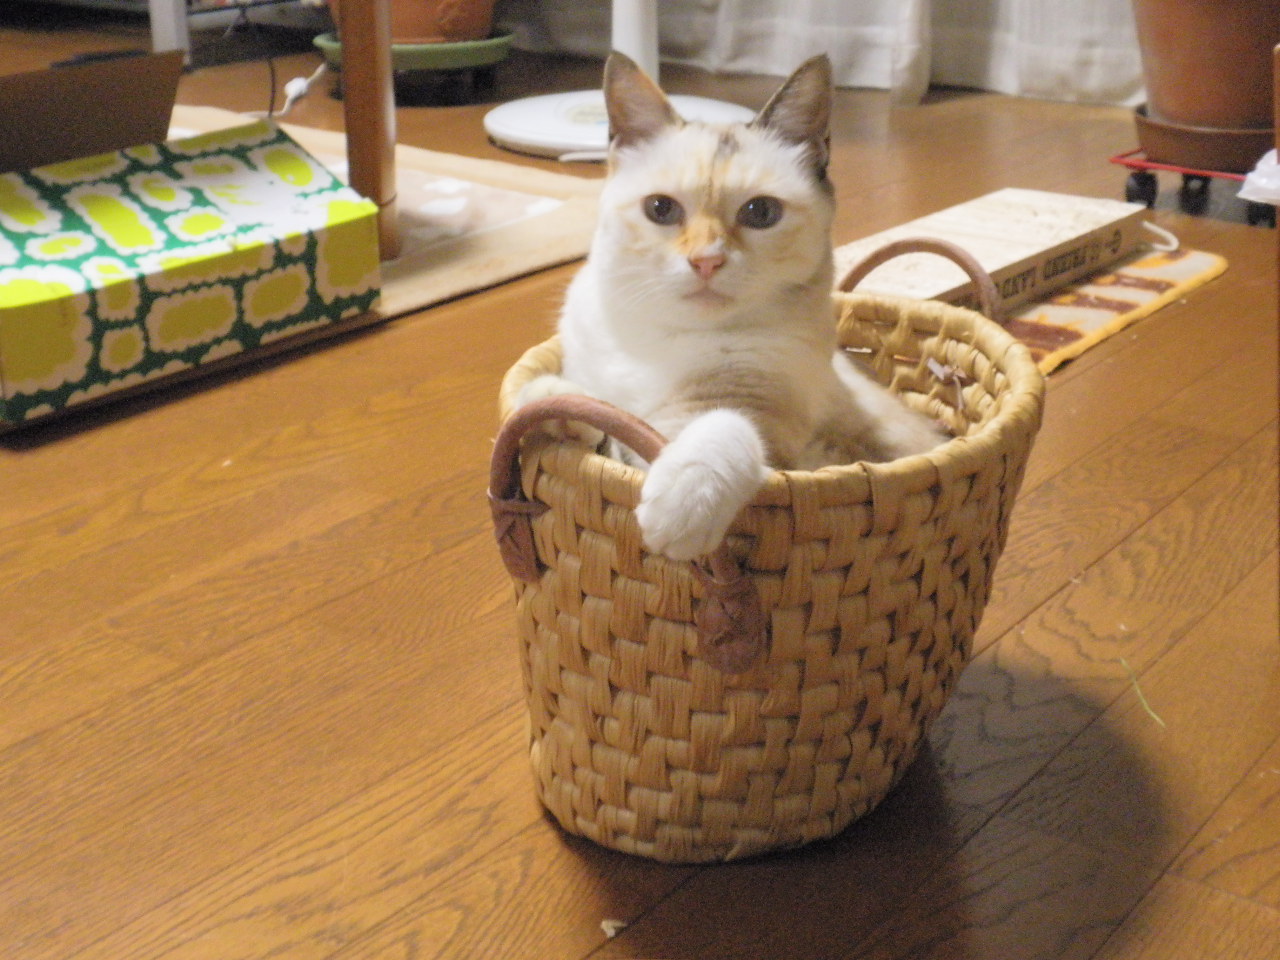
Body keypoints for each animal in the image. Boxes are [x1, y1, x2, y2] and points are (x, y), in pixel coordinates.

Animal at [518, 52, 946, 562]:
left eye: (760, 213)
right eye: (661, 209)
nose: (706, 261)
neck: (658, 337)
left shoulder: (768, 437)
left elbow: (725, 425)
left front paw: (683, 502)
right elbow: (584, 409)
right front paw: (557, 410)